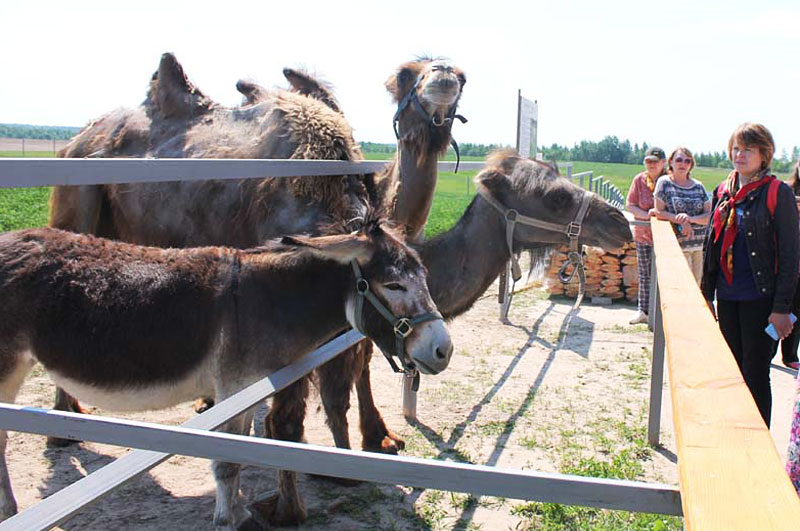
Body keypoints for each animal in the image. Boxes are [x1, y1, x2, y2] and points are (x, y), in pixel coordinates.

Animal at [0, 218, 450, 528]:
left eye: (425, 278)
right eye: (393, 285)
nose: (443, 350)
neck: (264, 299)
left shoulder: (245, 392)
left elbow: (242, 450)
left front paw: (239, 513)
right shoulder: (232, 387)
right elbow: (227, 462)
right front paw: (228, 521)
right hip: (7, 369)